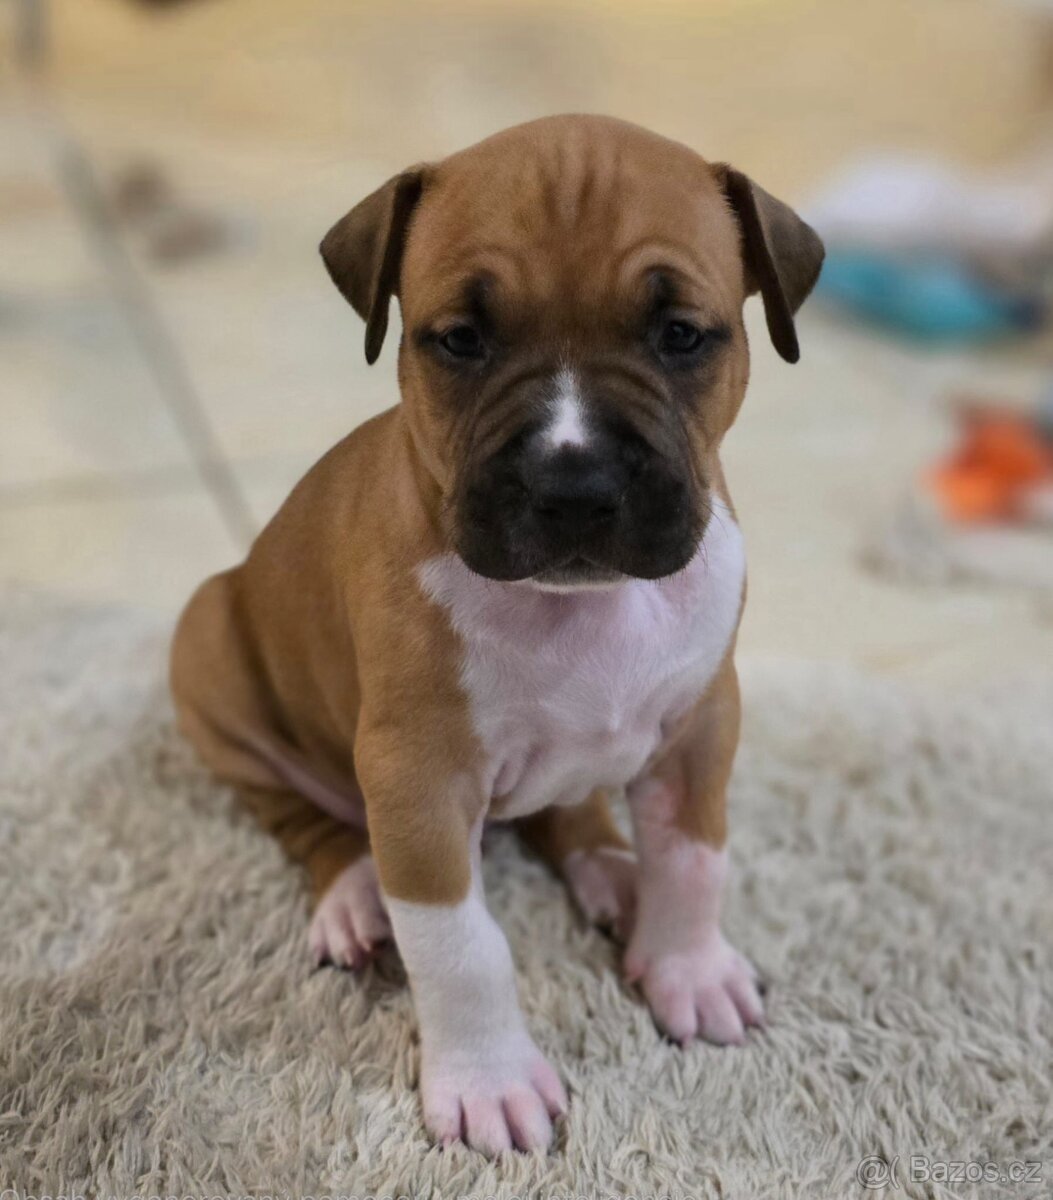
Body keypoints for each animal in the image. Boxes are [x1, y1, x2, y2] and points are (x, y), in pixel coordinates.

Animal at [171, 114, 824, 1155]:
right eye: (462, 341)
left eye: (680, 335)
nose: (574, 486)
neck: (579, 606)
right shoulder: (418, 780)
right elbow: (461, 946)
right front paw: (487, 1082)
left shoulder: (700, 728)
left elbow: (694, 862)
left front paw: (689, 971)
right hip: (209, 657)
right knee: (303, 819)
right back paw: (354, 898)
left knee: (572, 812)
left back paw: (610, 871)